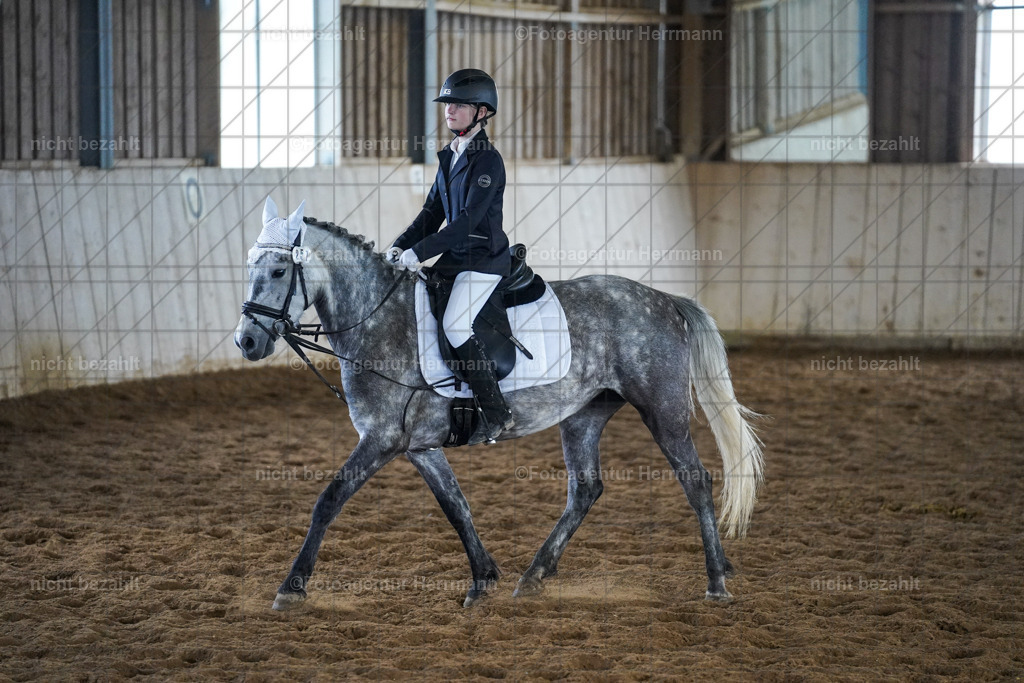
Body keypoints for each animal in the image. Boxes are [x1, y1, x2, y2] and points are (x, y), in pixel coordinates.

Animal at [234, 198, 764, 610]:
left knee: (696, 482)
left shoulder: (381, 439)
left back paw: (716, 582)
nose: (246, 341)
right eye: (249, 268)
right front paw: (483, 578)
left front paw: (291, 588)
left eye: (279, 270)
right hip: (584, 414)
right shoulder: (419, 447)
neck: (377, 319)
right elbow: (457, 507)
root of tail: (665, 300)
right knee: (585, 490)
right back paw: (533, 576)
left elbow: (329, 500)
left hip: (662, 410)